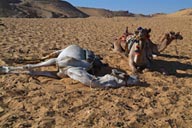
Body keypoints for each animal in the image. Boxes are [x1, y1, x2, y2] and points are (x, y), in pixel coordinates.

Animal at [0, 44, 140, 87]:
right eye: (127, 76)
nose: (137, 78)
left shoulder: (57, 74)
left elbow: (31, 71)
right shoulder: (59, 62)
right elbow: (29, 67)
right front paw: (3, 68)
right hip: (58, 53)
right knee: (45, 57)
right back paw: (12, 59)